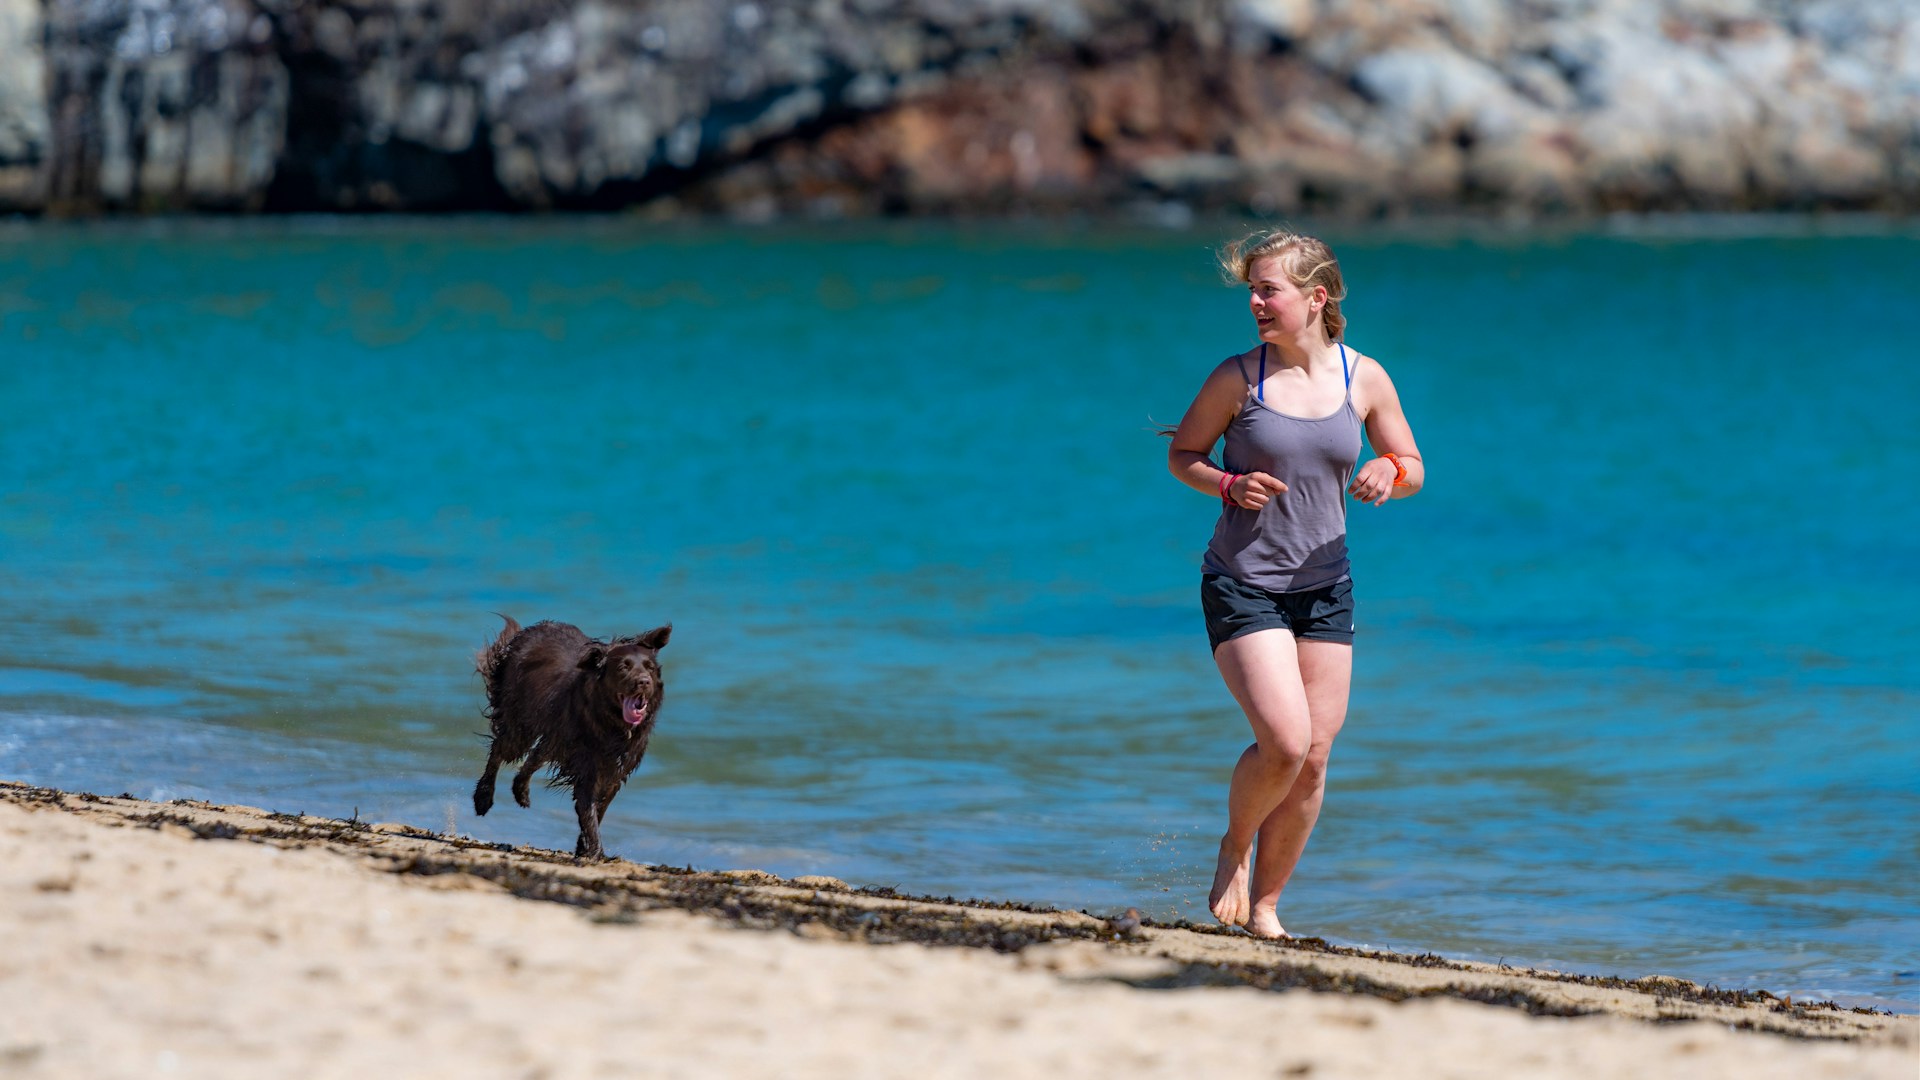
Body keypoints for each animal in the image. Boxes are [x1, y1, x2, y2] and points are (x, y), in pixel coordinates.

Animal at [468, 614, 672, 857]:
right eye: (624, 667)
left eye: (650, 668)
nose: (644, 682)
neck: (611, 723)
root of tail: (529, 631)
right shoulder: (588, 766)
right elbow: (588, 810)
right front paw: (595, 851)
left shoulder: (615, 770)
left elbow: (600, 808)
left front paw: (585, 848)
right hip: (520, 726)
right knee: (499, 750)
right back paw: (483, 797)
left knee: (536, 755)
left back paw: (521, 791)